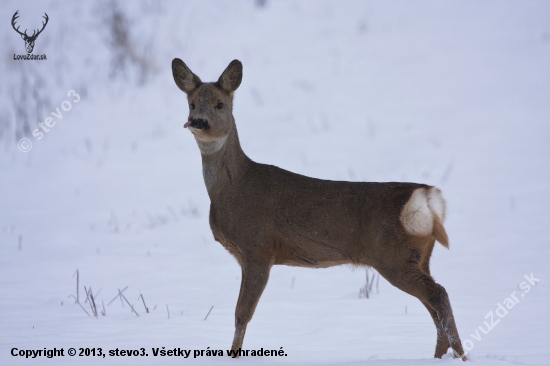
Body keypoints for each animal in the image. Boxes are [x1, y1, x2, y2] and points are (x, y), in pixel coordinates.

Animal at [171, 58, 466, 358]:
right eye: (192, 103)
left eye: (219, 104)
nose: (198, 122)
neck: (232, 189)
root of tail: (425, 197)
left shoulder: (259, 249)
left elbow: (242, 314)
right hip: (418, 256)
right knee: (432, 302)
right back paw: (440, 356)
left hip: (393, 256)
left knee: (438, 295)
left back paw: (461, 355)